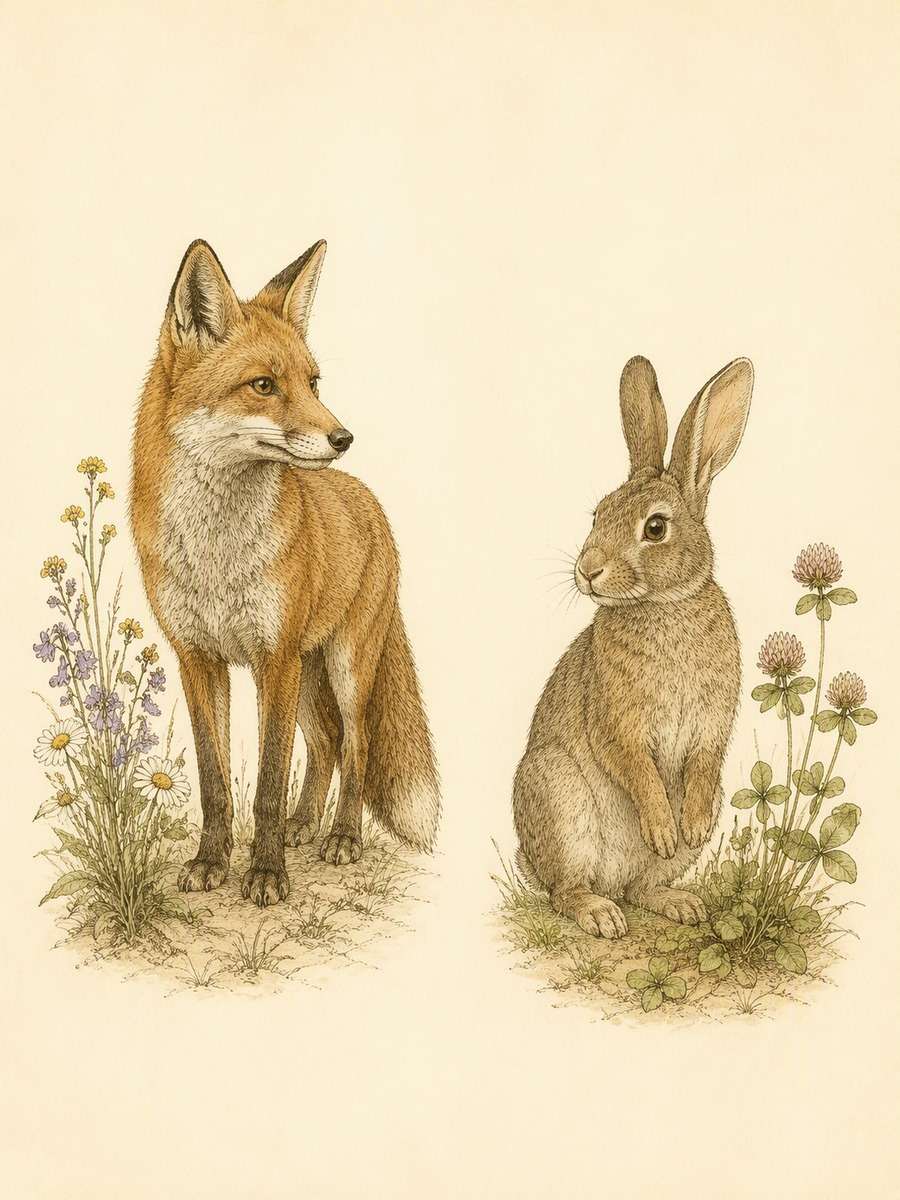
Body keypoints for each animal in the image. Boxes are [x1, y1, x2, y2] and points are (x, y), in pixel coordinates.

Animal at [131, 238, 440, 907]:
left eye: (313, 381)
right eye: (264, 385)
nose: (343, 437)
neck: (217, 554)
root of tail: (368, 499)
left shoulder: (273, 657)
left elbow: (268, 783)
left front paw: (266, 874)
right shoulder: (199, 657)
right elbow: (215, 781)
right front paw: (212, 862)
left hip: (341, 668)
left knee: (355, 746)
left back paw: (342, 836)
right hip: (305, 674)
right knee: (324, 746)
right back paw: (305, 824)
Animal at [513, 354, 753, 938]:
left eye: (656, 527)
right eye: (597, 515)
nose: (588, 569)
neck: (665, 603)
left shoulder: (713, 724)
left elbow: (705, 761)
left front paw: (689, 826)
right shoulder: (617, 721)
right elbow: (638, 769)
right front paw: (663, 826)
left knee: (641, 888)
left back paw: (681, 904)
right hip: (559, 800)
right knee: (565, 890)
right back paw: (601, 915)